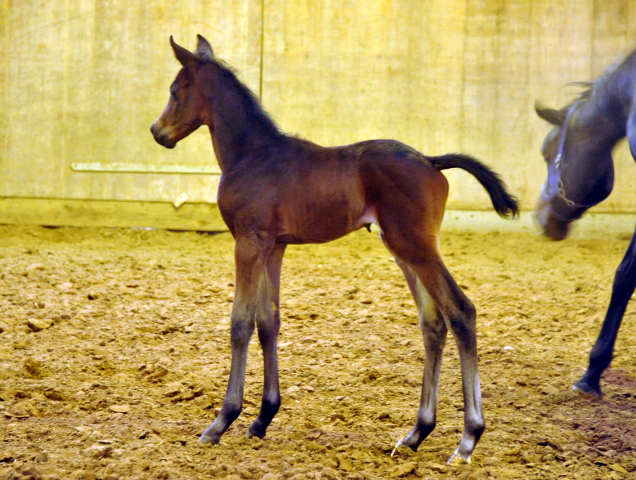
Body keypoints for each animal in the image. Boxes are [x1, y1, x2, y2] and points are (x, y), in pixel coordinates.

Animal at [152, 34, 520, 464]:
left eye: (175, 91)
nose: (157, 131)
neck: (253, 154)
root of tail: (431, 161)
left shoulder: (248, 241)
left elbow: (240, 322)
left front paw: (221, 422)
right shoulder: (273, 247)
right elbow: (268, 322)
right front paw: (262, 419)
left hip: (415, 246)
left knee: (461, 311)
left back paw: (467, 440)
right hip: (404, 249)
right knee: (433, 322)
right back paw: (416, 433)